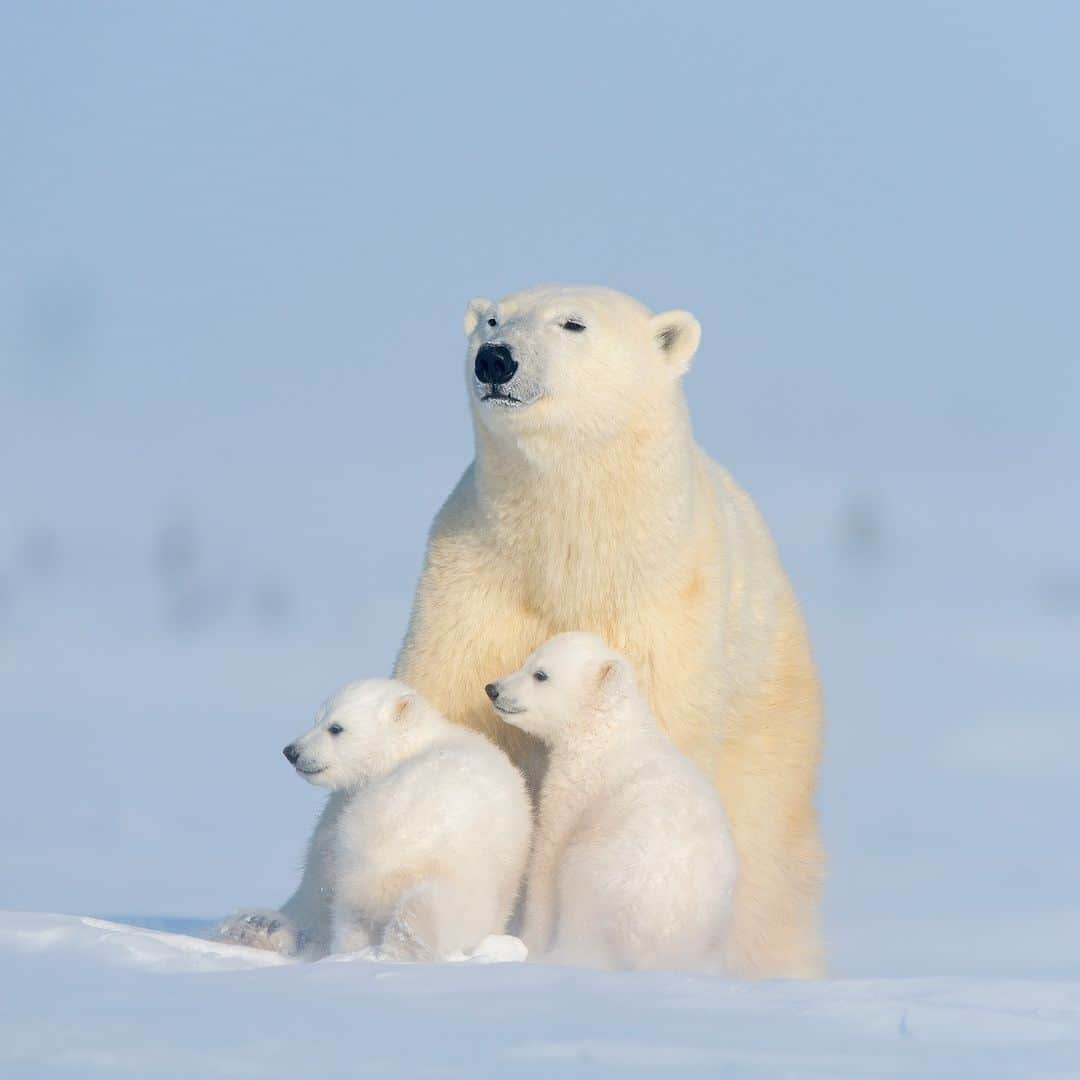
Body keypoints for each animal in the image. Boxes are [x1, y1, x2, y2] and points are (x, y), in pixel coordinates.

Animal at [488, 630, 734, 972]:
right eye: (525, 661)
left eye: (540, 674)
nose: (493, 689)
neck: (606, 730)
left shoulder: (577, 787)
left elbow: (547, 857)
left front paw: (529, 943)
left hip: (598, 881)